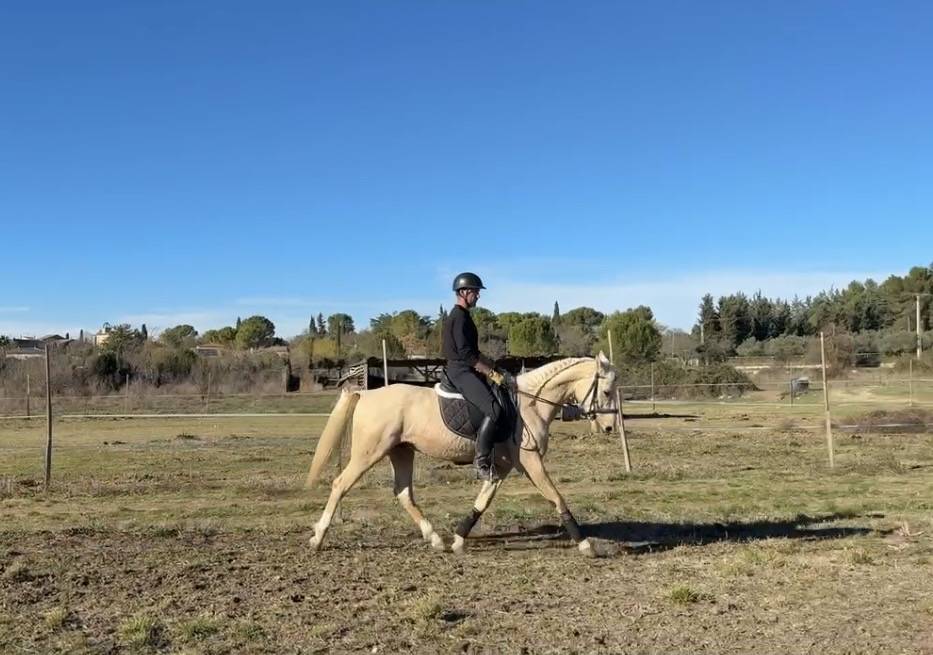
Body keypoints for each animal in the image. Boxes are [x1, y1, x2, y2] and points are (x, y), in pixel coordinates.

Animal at [304, 353, 619, 557]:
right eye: (605, 391)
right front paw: (586, 544)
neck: (530, 404)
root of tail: (367, 394)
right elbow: (557, 497)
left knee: (403, 493)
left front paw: (458, 539)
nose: (608, 428)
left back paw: (435, 539)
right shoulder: (529, 461)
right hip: (369, 453)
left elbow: (483, 501)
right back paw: (318, 538)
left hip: (401, 452)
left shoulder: (502, 466)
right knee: (340, 485)